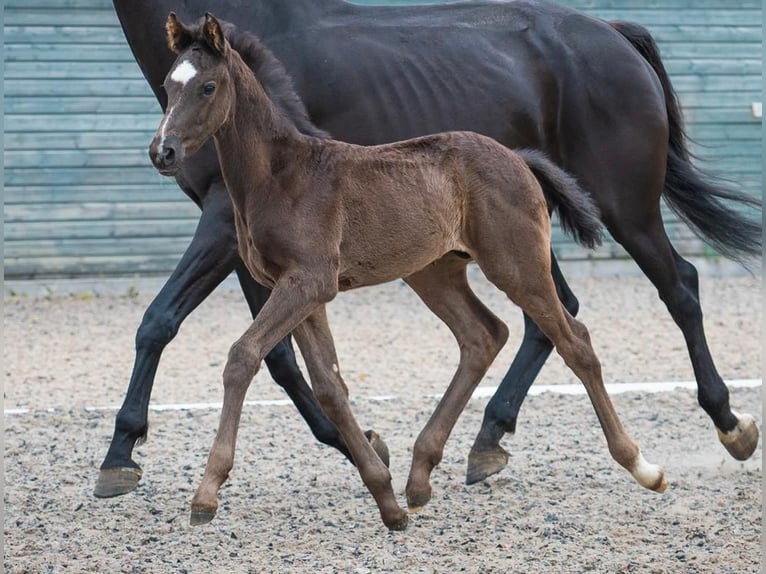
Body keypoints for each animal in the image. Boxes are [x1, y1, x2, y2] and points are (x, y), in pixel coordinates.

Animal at [97, 0, 760, 500]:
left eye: (208, 86)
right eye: (169, 86)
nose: (162, 152)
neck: (284, 168)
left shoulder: (274, 261)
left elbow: (186, 332)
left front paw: (129, 459)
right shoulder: (275, 273)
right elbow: (303, 369)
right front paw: (362, 452)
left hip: (610, 215)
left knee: (648, 300)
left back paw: (704, 438)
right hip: (449, 270)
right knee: (507, 329)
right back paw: (461, 454)